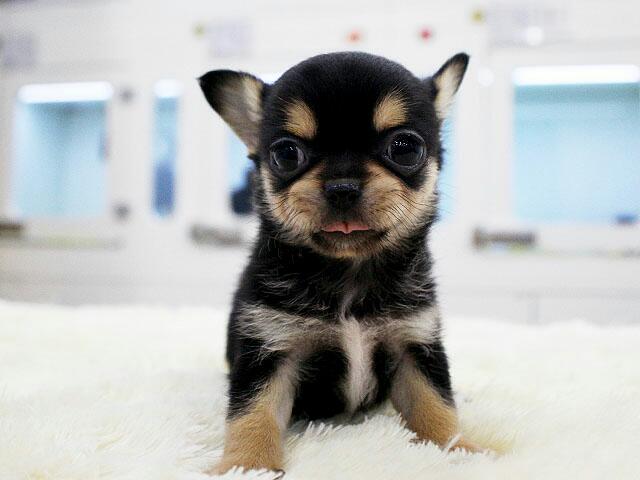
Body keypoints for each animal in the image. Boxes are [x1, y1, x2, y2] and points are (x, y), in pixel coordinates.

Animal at [199, 51, 479, 475]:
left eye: (405, 148)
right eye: (286, 154)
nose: (342, 186)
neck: (349, 271)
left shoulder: (414, 345)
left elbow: (435, 404)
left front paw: (460, 449)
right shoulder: (269, 350)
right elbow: (252, 412)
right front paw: (247, 465)